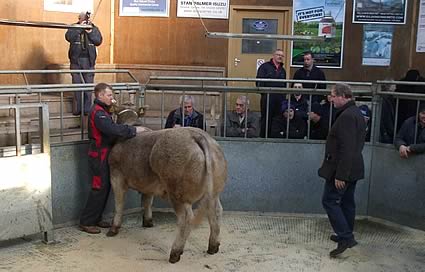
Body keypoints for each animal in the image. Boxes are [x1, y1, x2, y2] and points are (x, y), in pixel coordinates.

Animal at [105, 127, 227, 264]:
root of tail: (196, 134)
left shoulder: (116, 175)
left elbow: (119, 203)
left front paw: (113, 229)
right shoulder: (148, 185)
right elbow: (147, 201)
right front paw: (148, 222)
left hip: (177, 193)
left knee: (186, 218)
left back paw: (175, 253)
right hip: (214, 191)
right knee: (216, 211)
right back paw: (213, 247)